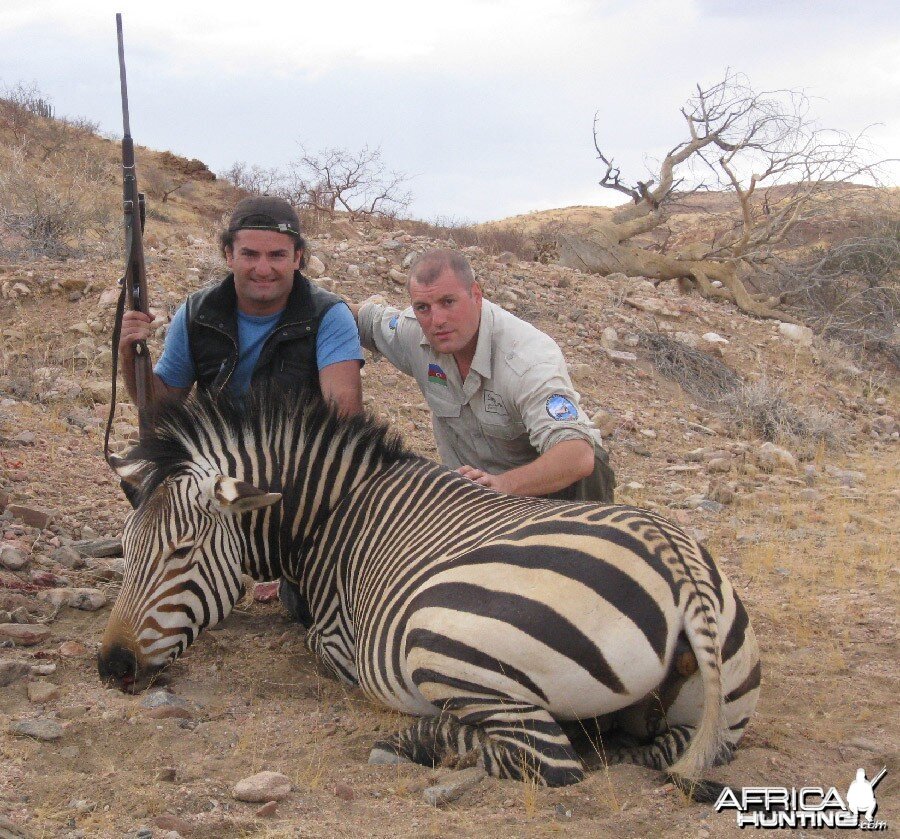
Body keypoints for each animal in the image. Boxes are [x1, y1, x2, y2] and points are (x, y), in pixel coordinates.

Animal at [98, 388, 760, 796]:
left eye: (181, 552)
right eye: (125, 548)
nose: (112, 666)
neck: (335, 513)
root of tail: (678, 566)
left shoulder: (336, 638)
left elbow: (315, 643)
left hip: (437, 635)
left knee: (548, 758)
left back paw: (415, 742)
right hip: (718, 718)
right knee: (667, 748)